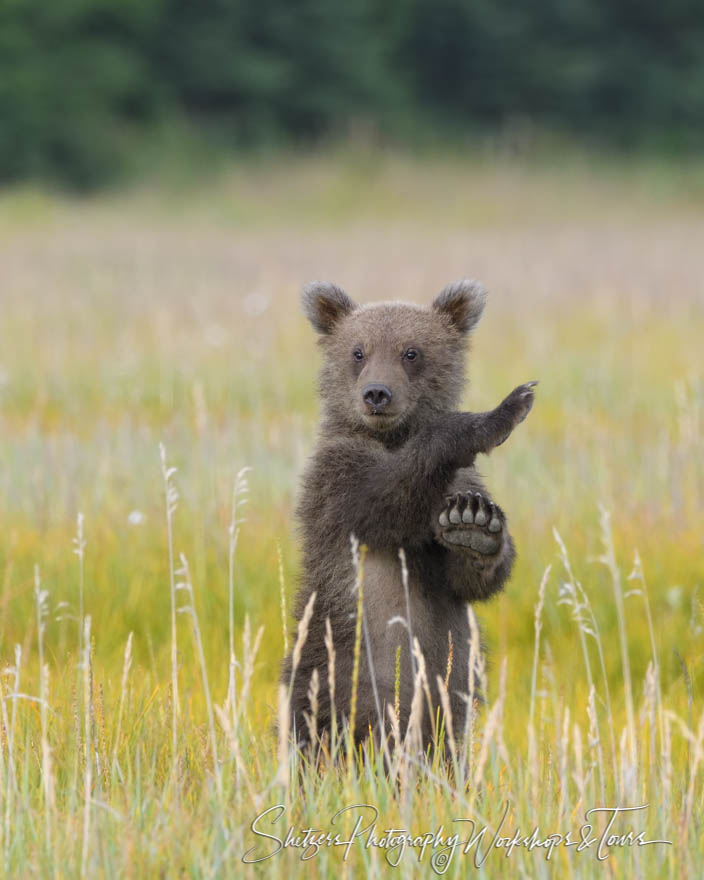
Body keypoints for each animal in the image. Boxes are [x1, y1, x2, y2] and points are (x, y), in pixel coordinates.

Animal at [278, 278, 536, 752]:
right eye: (358, 351)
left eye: (411, 352)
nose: (377, 393)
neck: (392, 437)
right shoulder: (335, 476)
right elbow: (384, 501)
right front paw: (500, 413)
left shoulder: (461, 483)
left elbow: (468, 577)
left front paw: (475, 527)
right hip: (337, 659)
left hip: (446, 699)